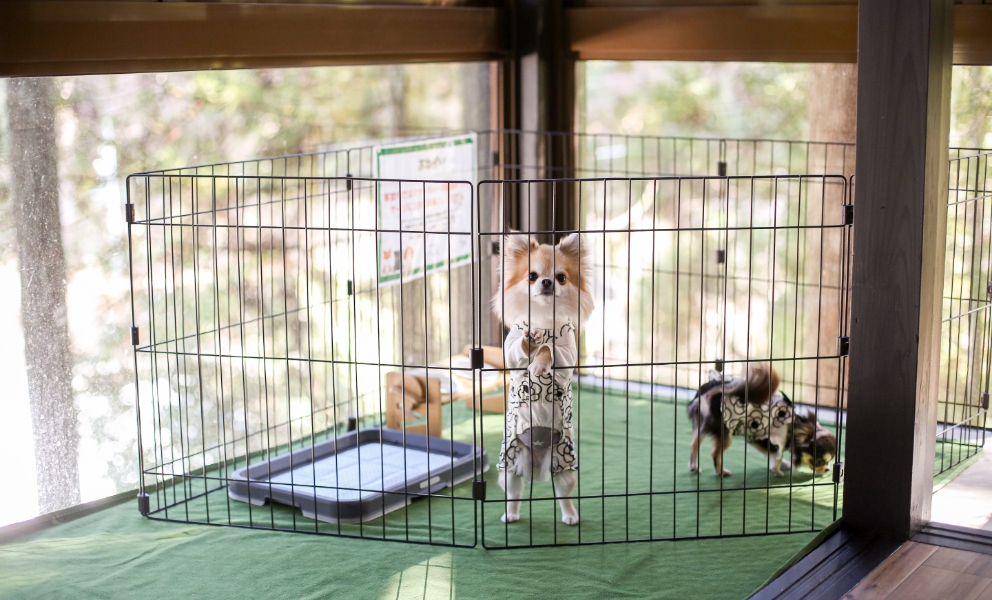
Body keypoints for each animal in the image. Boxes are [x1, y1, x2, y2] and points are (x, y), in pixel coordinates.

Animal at [492, 232, 592, 524]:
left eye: (561, 277)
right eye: (532, 276)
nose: (546, 282)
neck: (544, 319)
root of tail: (536, 465)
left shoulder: (567, 352)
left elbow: (551, 350)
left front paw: (539, 362)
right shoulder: (511, 349)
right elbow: (519, 350)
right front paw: (530, 342)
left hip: (563, 464)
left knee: (563, 495)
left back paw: (570, 516)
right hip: (510, 464)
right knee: (514, 494)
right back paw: (511, 515)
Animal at [688, 366, 836, 478]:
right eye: (820, 461)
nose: (827, 469)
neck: (793, 427)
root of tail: (708, 392)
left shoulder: (755, 438)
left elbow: (772, 453)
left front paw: (782, 465)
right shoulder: (765, 437)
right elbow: (777, 455)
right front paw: (777, 469)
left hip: (703, 424)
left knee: (694, 444)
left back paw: (694, 467)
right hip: (724, 430)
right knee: (715, 453)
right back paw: (721, 472)